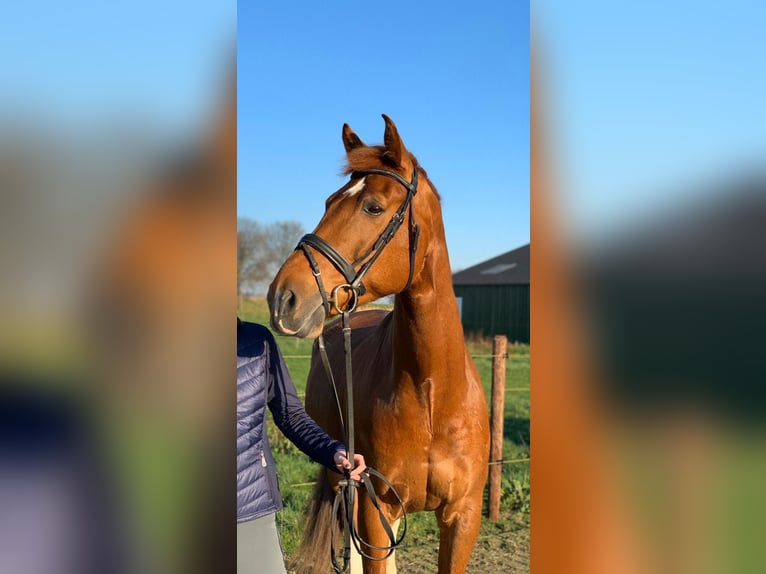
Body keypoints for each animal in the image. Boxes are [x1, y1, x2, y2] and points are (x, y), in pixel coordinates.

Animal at [268, 115, 488, 572]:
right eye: (329, 201)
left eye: (372, 206)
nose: (283, 298)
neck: (432, 394)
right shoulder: (374, 508)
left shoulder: (463, 518)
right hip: (344, 480)